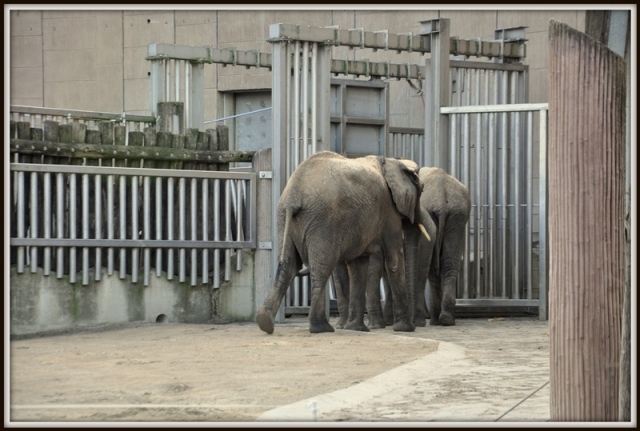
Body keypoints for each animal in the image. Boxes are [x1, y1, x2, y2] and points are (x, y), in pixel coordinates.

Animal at [255, 150, 430, 336]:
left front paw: (356, 328)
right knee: (321, 268)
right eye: (421, 190)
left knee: (288, 265)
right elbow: (394, 261)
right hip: (323, 221)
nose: (417, 323)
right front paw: (406, 329)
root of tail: (293, 196)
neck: (390, 161)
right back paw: (321, 328)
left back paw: (265, 322)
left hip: (283, 218)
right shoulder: (389, 210)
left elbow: (359, 266)